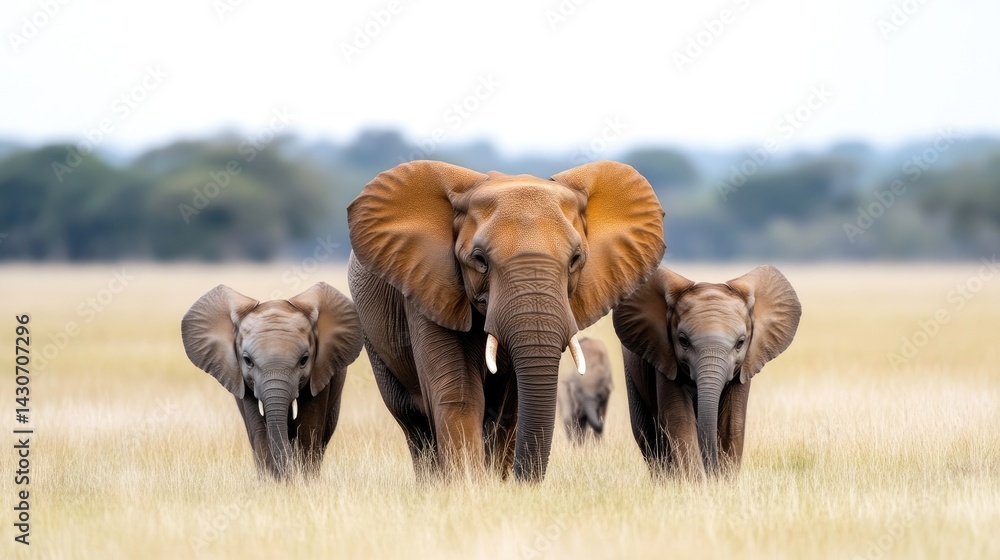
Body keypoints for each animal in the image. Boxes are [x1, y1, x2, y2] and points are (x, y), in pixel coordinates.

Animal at [181, 282, 363, 477]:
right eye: (247, 361)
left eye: (304, 360)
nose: (287, 475)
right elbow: (259, 429)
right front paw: (272, 480)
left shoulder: (320, 372)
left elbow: (309, 428)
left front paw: (303, 479)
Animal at [347, 159, 665, 481]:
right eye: (480, 260)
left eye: (575, 259)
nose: (523, 479)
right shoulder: (429, 288)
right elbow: (460, 395)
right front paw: (468, 485)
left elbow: (510, 405)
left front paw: (497, 483)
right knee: (412, 420)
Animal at [613, 265, 801, 478]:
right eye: (683, 341)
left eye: (740, 343)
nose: (712, 471)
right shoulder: (665, 357)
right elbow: (679, 419)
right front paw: (697, 483)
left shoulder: (744, 366)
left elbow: (731, 422)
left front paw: (723, 481)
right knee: (646, 433)